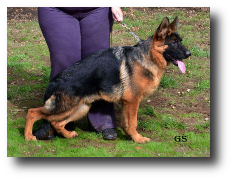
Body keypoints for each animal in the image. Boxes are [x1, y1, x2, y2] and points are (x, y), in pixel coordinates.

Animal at [24, 16, 191, 143]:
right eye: (174, 43)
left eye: (181, 41)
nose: (189, 54)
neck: (147, 56)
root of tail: (54, 81)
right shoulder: (133, 101)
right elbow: (133, 123)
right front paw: (138, 139)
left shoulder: (126, 102)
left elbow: (126, 123)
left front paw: (130, 137)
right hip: (65, 106)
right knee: (33, 112)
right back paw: (28, 137)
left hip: (80, 108)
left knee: (56, 122)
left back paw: (68, 134)